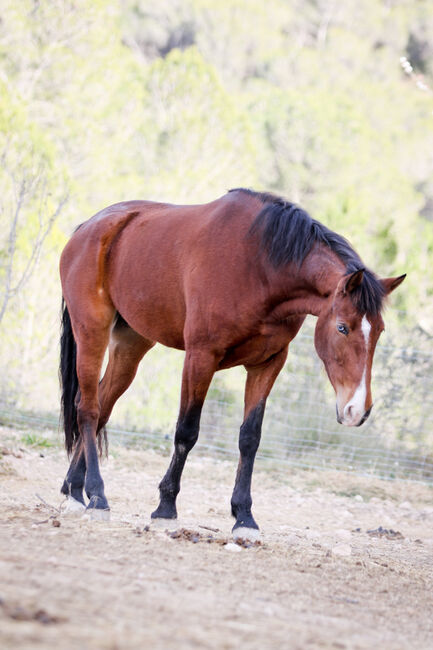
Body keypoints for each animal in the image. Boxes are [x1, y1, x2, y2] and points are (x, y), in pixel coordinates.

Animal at [58, 187, 404, 536]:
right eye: (342, 327)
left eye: (380, 331)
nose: (358, 410)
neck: (261, 268)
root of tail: (89, 227)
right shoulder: (201, 357)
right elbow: (186, 432)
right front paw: (166, 506)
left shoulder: (269, 363)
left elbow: (249, 438)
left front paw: (244, 516)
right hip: (92, 331)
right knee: (88, 408)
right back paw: (96, 496)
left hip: (131, 344)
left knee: (102, 405)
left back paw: (75, 489)